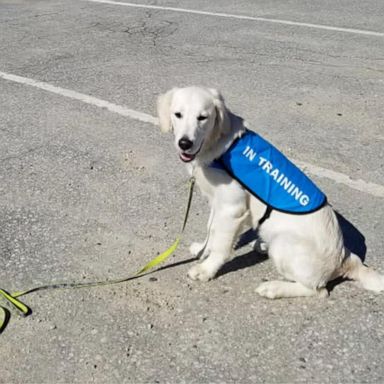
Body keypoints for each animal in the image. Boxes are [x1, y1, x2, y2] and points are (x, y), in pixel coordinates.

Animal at [157, 87, 384, 300]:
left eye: (202, 117)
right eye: (178, 114)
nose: (184, 143)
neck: (216, 146)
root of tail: (345, 258)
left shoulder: (232, 208)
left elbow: (221, 245)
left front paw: (206, 269)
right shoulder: (217, 202)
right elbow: (211, 229)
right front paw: (203, 250)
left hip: (284, 244)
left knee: (319, 291)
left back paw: (273, 288)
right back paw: (261, 246)